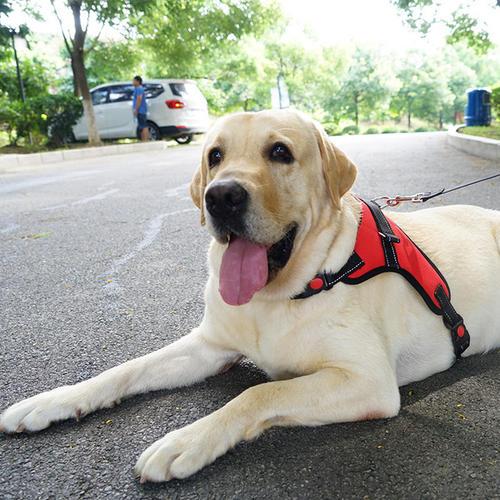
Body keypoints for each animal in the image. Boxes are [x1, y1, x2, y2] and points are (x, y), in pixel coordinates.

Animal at [0, 109, 500, 480]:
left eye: (280, 152)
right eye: (214, 156)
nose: (220, 197)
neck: (281, 294)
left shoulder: (367, 381)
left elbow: (258, 394)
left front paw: (186, 440)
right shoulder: (209, 346)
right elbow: (126, 369)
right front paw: (51, 401)